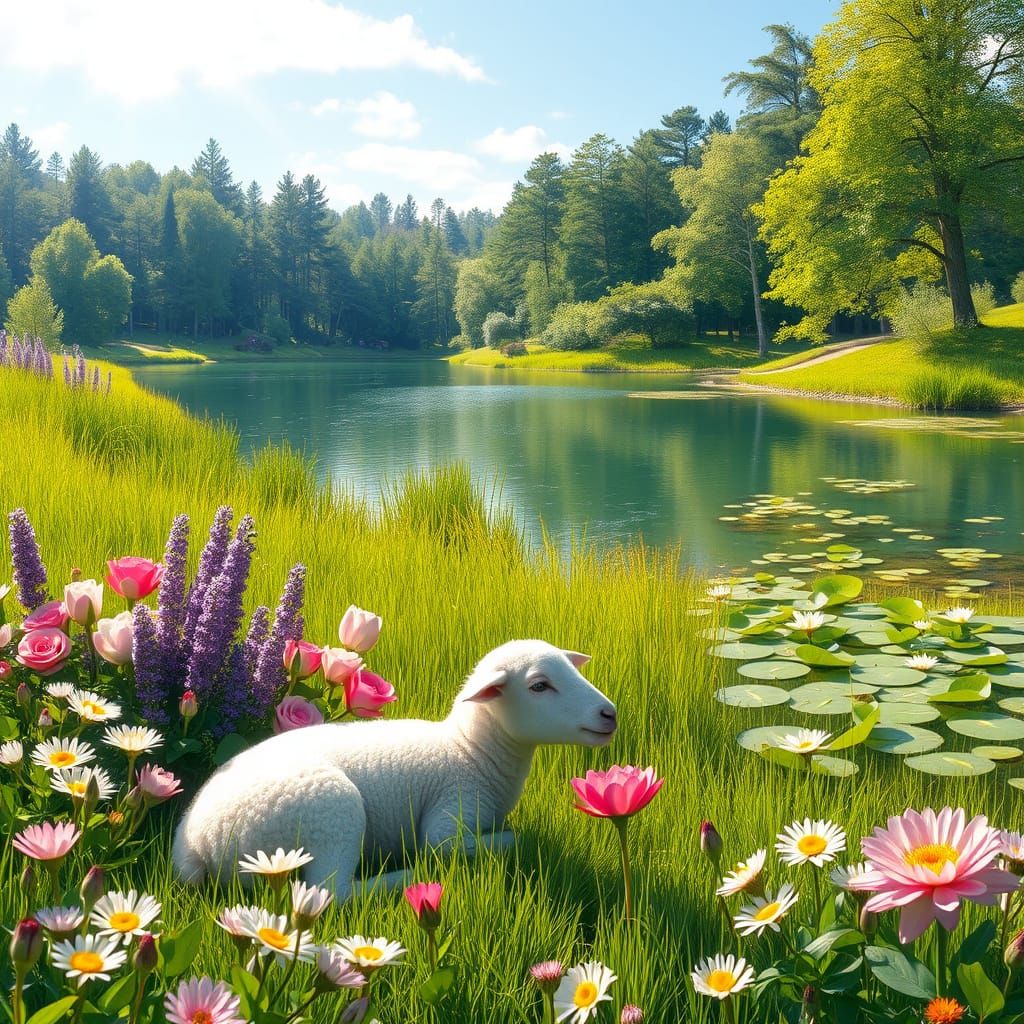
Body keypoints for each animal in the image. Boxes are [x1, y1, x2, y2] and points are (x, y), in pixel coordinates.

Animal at [172, 639, 617, 896]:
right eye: (540, 686)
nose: (609, 713)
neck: (470, 751)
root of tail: (199, 844)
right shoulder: (448, 816)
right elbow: (490, 841)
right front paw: (519, 839)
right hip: (330, 815)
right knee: (332, 892)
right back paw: (404, 878)